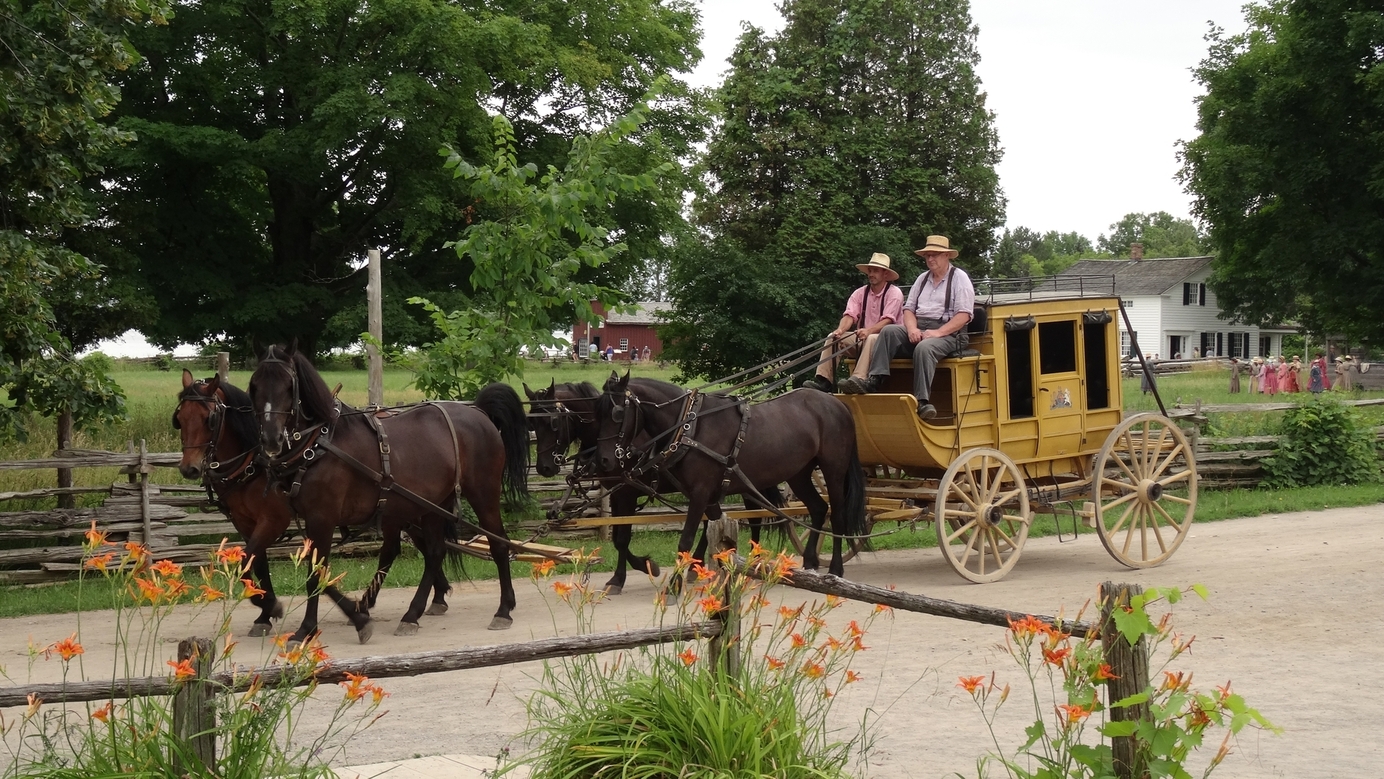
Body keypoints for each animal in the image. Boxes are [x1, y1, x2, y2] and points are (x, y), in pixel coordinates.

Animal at [170, 370, 453, 639]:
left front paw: (272, 606)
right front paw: (264, 612)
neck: (255, 462)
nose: (188, 468)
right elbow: (257, 563)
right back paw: (431, 597)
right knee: (413, 548)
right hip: (403, 510)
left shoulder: (275, 520)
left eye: (209, 419)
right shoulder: (245, 522)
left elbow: (251, 562)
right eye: (179, 419)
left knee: (418, 550)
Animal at [249, 347, 528, 639]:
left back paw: (503, 609)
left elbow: (317, 574)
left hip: (483, 494)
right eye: (254, 386)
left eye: (289, 386)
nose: (271, 439)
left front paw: (307, 628)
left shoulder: (322, 519)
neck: (319, 445)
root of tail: (478, 411)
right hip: (434, 503)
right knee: (435, 551)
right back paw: (412, 614)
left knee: (498, 544)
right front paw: (356, 614)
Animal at [525, 381, 791, 594]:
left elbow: (622, 539)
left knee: (751, 518)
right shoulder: (618, 494)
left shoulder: (627, 493)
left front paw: (627, 575)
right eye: (532, 424)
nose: (544, 467)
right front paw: (642, 567)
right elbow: (619, 538)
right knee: (717, 521)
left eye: (552, 422)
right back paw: (700, 564)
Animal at [595, 379, 863, 578]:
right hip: (799, 474)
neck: (690, 425)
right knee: (818, 509)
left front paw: (675, 586)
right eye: (598, 413)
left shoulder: (700, 493)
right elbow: (720, 539)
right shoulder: (707, 496)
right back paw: (809, 561)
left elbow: (686, 541)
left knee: (837, 515)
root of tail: (836, 403)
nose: (604, 460)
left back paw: (835, 568)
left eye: (618, 413)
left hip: (834, 470)